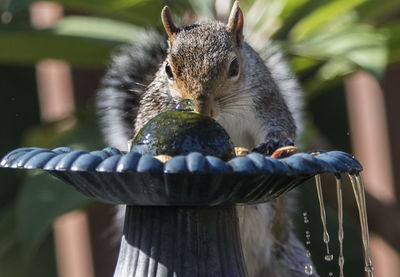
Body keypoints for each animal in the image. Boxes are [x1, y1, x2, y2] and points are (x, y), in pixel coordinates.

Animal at [97, 2, 318, 276]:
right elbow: (143, 126)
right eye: (168, 69)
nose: (202, 109)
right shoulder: (156, 103)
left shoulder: (265, 97)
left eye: (234, 67)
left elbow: (281, 123)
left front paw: (273, 144)